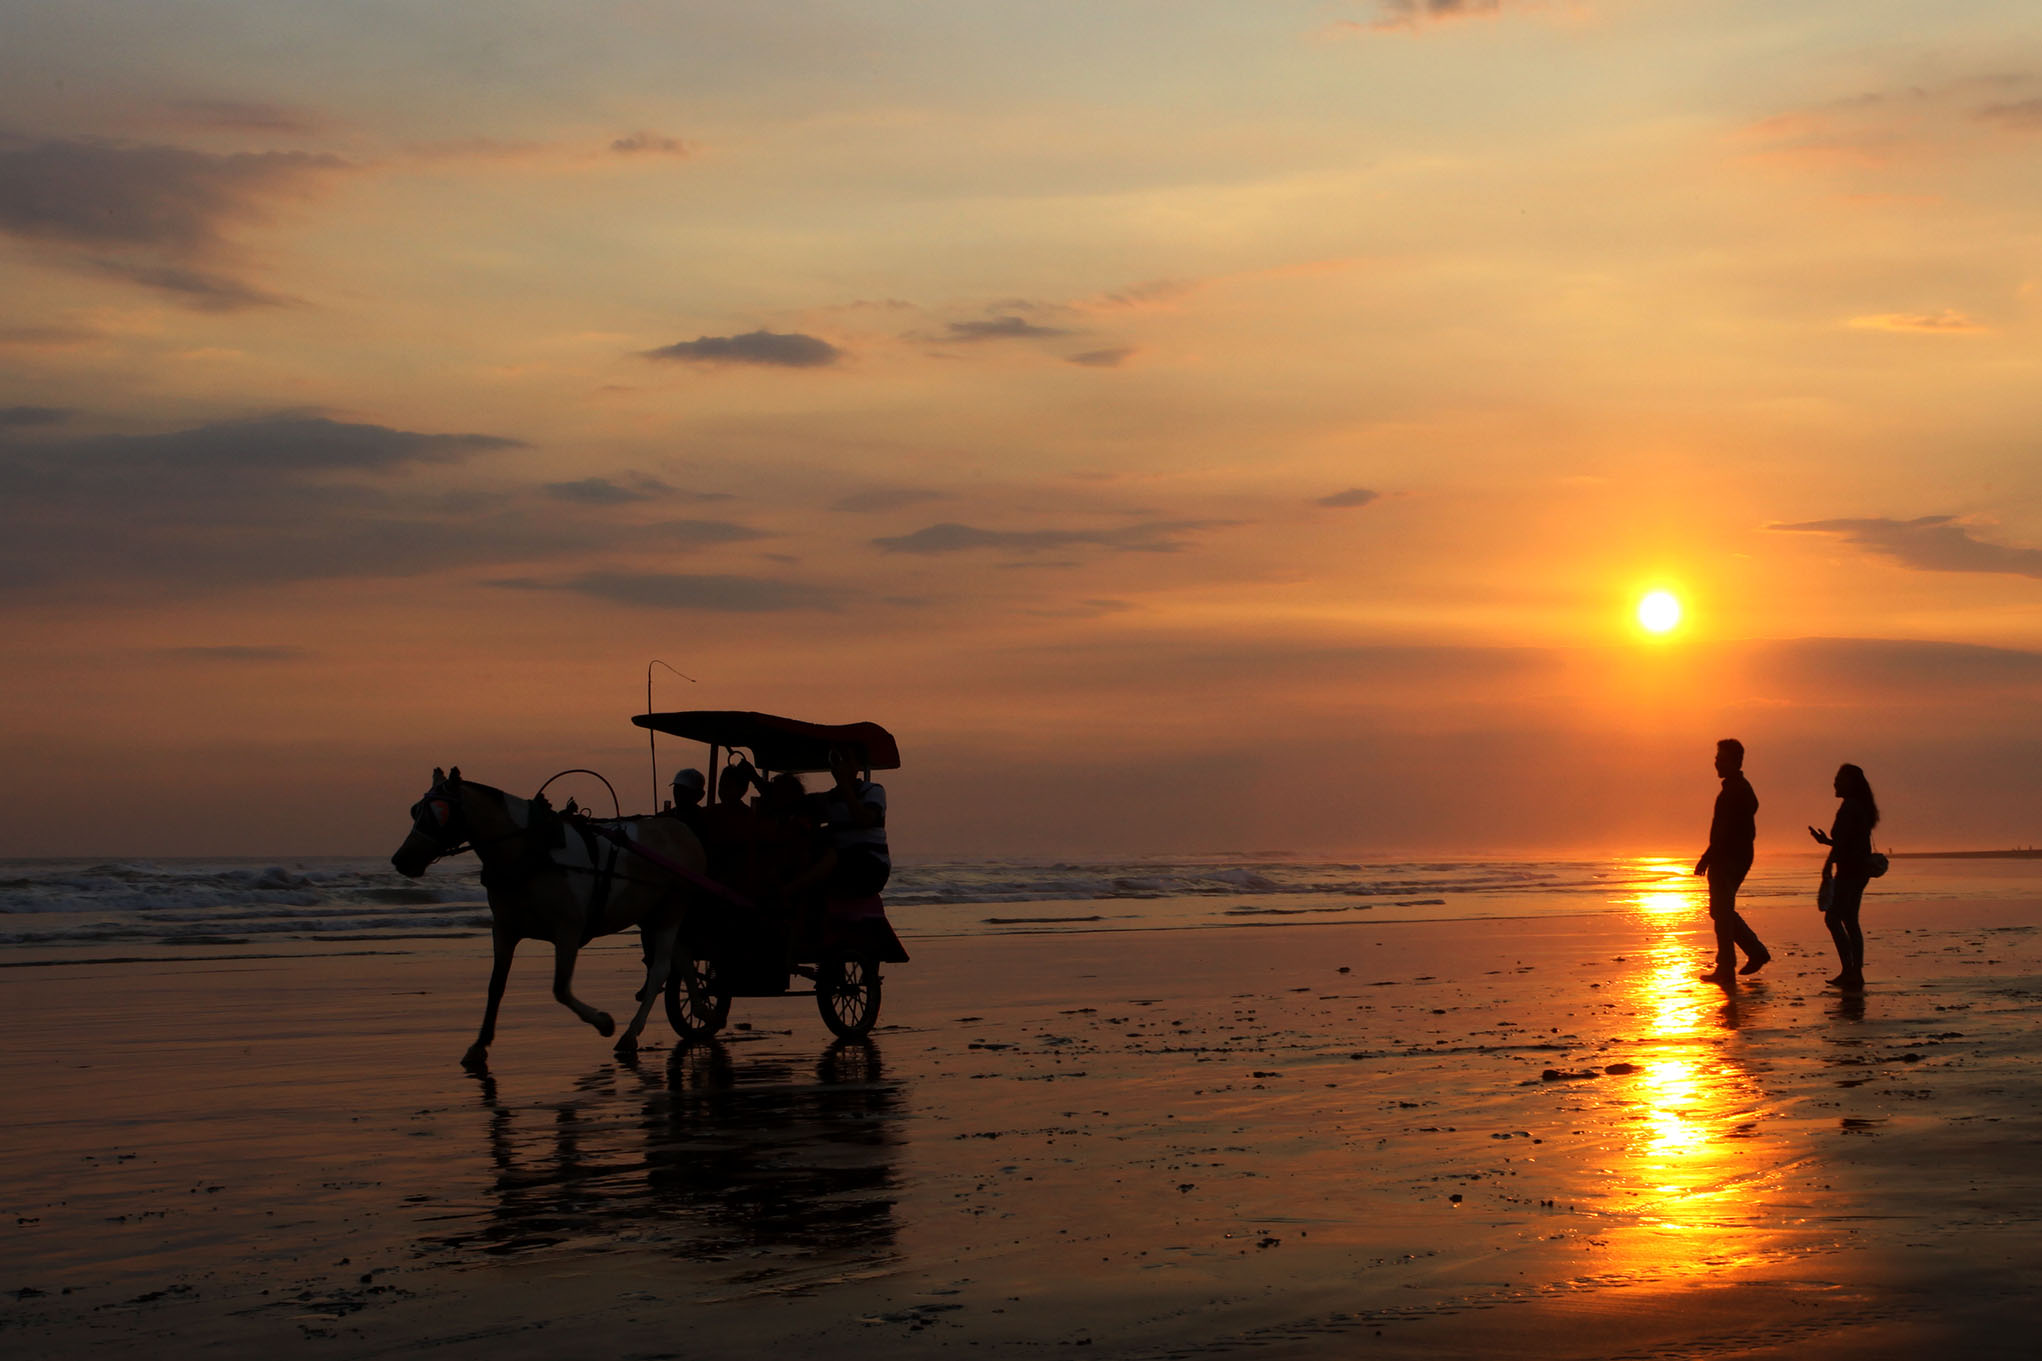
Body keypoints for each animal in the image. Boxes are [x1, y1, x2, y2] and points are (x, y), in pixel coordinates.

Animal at [390, 771, 710, 1069]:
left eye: (439, 812)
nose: (400, 860)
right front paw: (479, 1045)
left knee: (660, 969)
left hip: (672, 907)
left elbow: (560, 989)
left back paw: (631, 1033)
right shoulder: (504, 930)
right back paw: (700, 1008)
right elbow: (496, 987)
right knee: (683, 956)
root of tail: (680, 828)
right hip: (650, 914)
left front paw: (603, 1022)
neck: (530, 851)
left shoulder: (567, 931)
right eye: (415, 810)